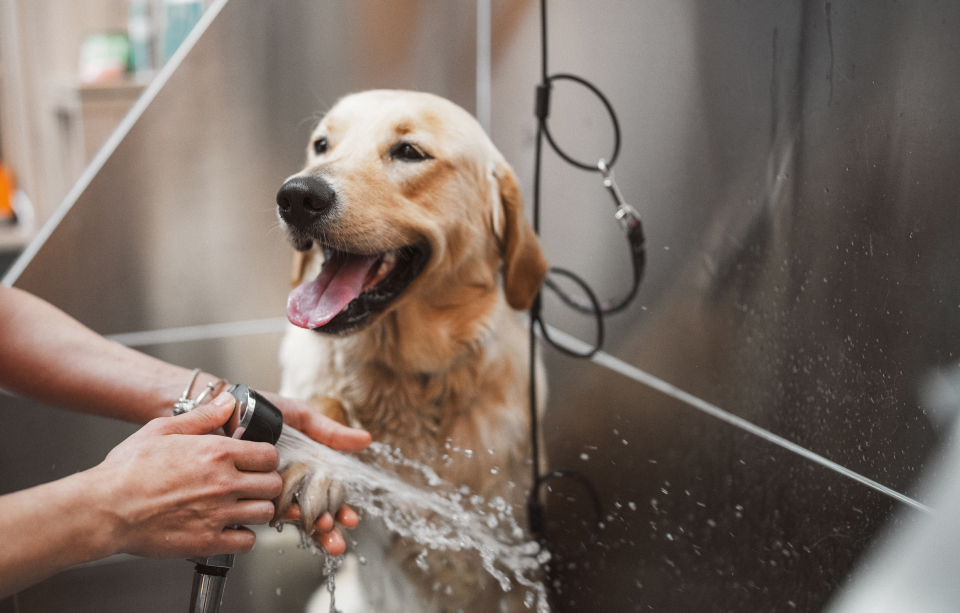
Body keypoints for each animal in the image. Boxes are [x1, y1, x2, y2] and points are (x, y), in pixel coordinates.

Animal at [274, 87, 548, 612]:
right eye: (321, 145)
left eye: (409, 152)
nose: (296, 196)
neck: (403, 377)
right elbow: (323, 405)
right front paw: (317, 461)